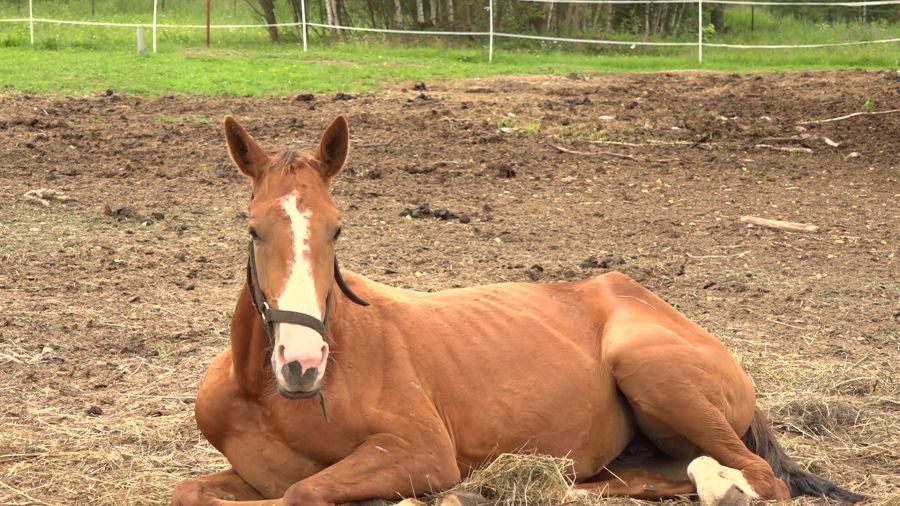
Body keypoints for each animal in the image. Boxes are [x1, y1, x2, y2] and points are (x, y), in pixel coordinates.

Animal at [171, 115, 864, 506]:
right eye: (254, 229)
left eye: (337, 230)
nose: (303, 362)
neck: (265, 397)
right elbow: (192, 491)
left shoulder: (422, 452)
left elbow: (301, 492)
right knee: (655, 476)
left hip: (652, 370)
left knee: (759, 479)